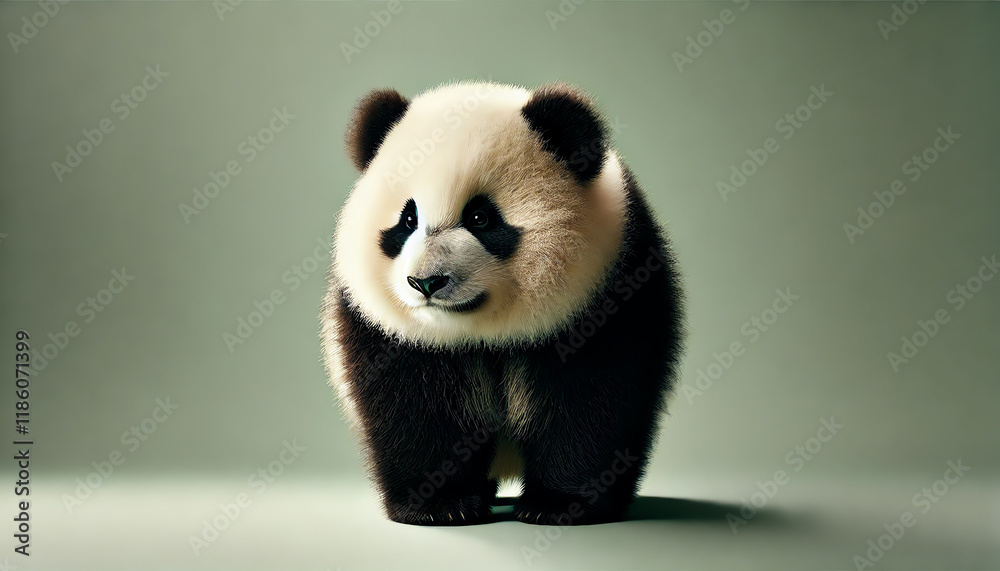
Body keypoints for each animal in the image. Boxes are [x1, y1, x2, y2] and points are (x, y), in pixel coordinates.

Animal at [321, 80, 684, 526]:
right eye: (408, 220)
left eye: (480, 217)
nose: (426, 282)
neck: (484, 331)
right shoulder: (385, 329)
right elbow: (414, 408)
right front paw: (441, 505)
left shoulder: (611, 289)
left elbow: (593, 399)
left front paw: (560, 504)